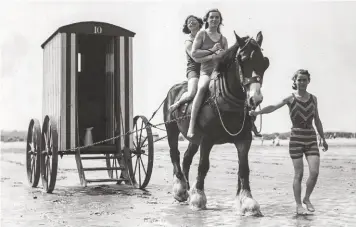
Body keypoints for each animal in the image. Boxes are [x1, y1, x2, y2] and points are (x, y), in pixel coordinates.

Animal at [163, 31, 268, 215]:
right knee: (174, 153)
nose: (255, 99)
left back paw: (187, 189)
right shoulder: (207, 139)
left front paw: (247, 200)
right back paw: (180, 189)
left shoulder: (244, 140)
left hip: (194, 138)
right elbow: (203, 165)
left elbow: (244, 168)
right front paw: (198, 198)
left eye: (264, 62)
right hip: (171, 129)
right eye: (243, 59)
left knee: (186, 158)